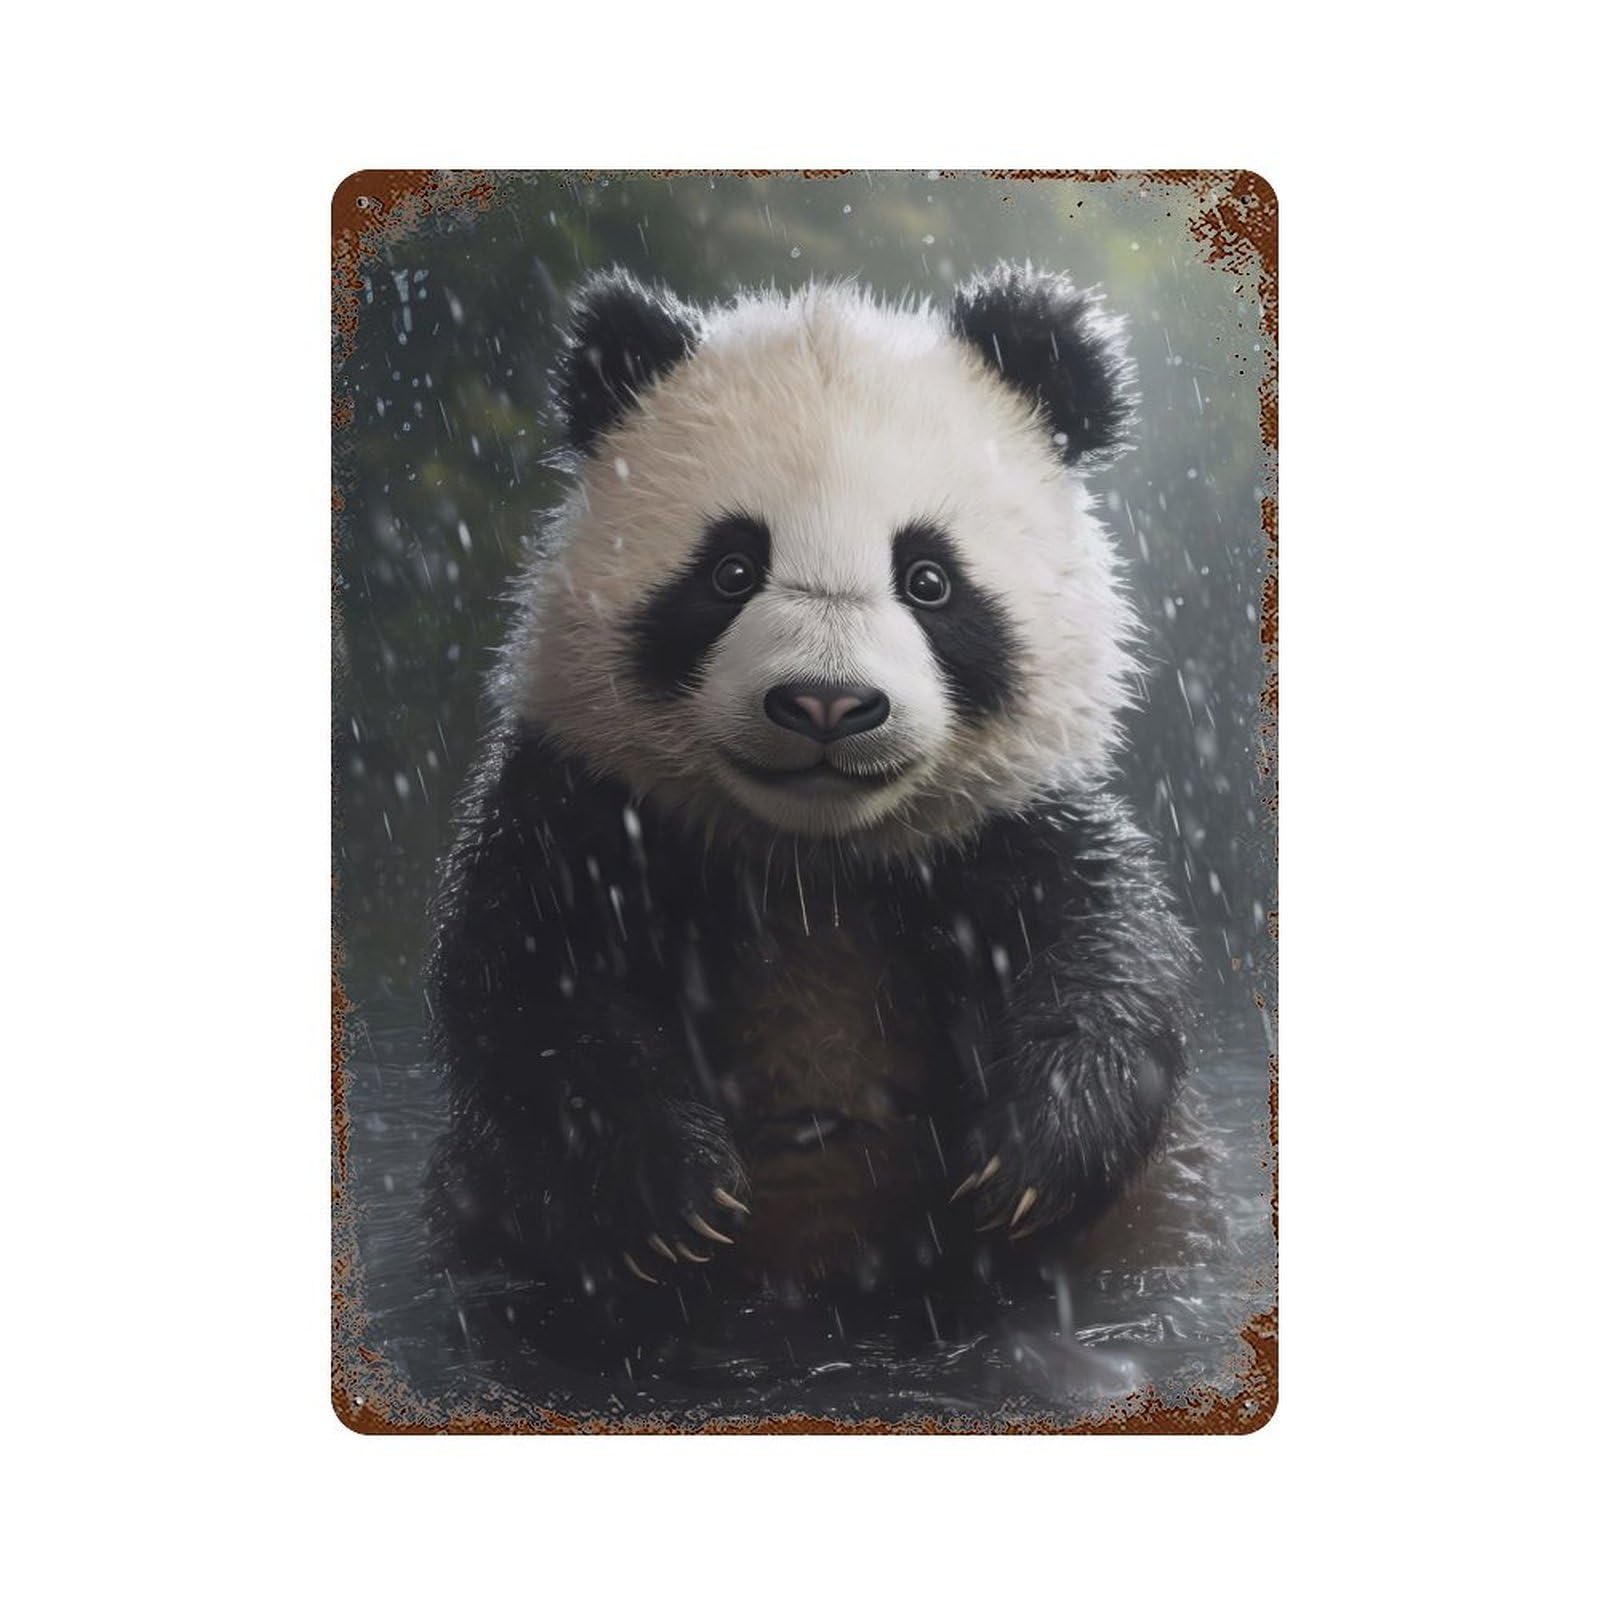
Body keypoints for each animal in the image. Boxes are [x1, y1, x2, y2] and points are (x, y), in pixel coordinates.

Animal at [428, 262, 1195, 1310]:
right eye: (729, 570)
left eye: (929, 579)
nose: (827, 704)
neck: (814, 860)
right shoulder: (587, 807)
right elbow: (532, 987)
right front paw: (672, 1197)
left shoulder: (1015, 819)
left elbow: (1107, 954)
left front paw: (1026, 1159)